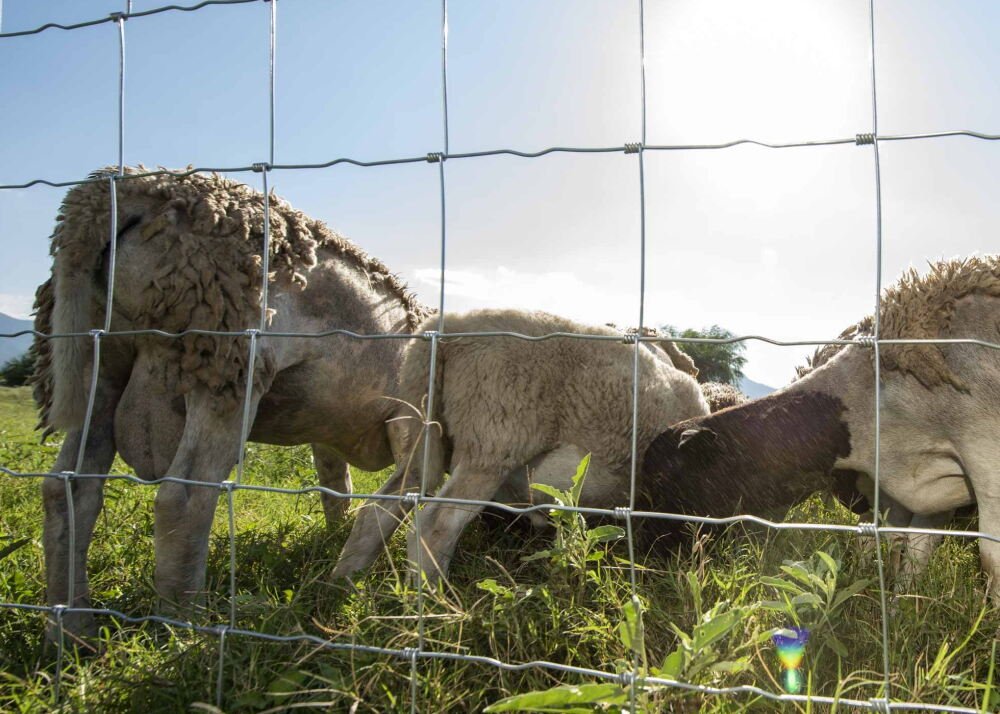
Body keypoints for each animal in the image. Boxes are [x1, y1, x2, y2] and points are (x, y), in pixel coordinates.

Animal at [332, 308, 708, 580]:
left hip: (423, 429)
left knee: (381, 506)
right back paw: (436, 607)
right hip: (493, 439)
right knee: (436, 525)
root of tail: (447, 328)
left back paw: (346, 582)